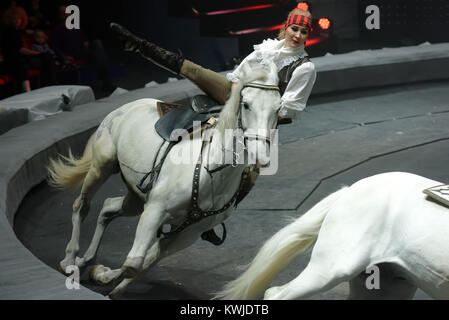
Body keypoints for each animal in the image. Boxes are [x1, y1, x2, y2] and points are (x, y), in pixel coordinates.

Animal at [47, 62, 282, 298]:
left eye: (278, 109)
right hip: (102, 166)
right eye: (246, 104)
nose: (261, 156)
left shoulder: (186, 233)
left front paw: (104, 277)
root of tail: (128, 106)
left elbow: (143, 265)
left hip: (135, 197)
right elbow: (133, 264)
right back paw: (70, 260)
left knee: (107, 208)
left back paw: (86, 260)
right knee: (81, 205)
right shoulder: (155, 210)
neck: (211, 172)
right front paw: (103, 275)